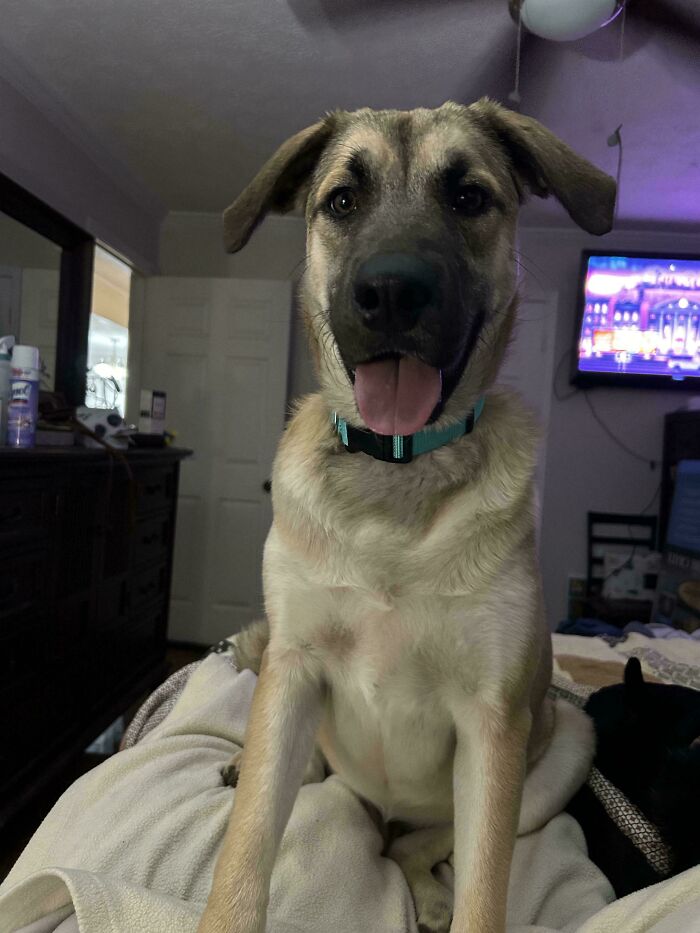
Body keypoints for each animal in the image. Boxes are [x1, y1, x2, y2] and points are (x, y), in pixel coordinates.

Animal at [196, 100, 612, 932]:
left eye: (469, 197)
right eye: (341, 201)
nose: (390, 292)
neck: (398, 469)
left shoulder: (492, 721)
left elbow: (485, 887)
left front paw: (458, 900)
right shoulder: (294, 664)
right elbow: (247, 845)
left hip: (565, 744)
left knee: (414, 845)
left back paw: (425, 889)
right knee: (313, 776)